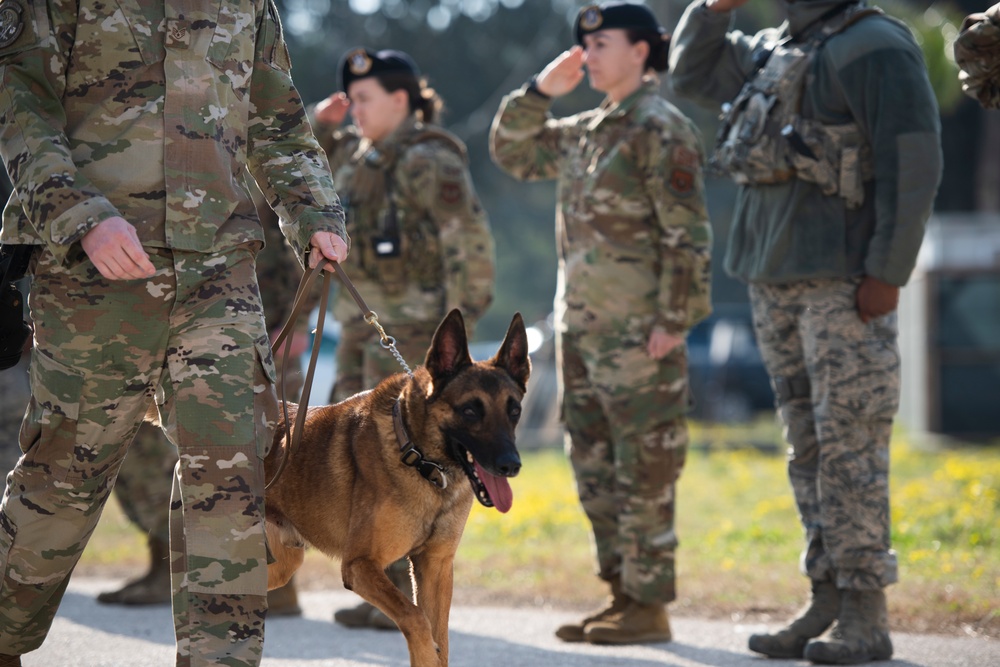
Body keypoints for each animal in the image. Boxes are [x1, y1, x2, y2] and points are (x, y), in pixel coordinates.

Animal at [264, 310, 532, 664]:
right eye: (470, 410)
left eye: (514, 410)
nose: (510, 465)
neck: (420, 460)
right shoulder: (361, 566)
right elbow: (417, 620)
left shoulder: (435, 567)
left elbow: (440, 636)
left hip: (281, 565)